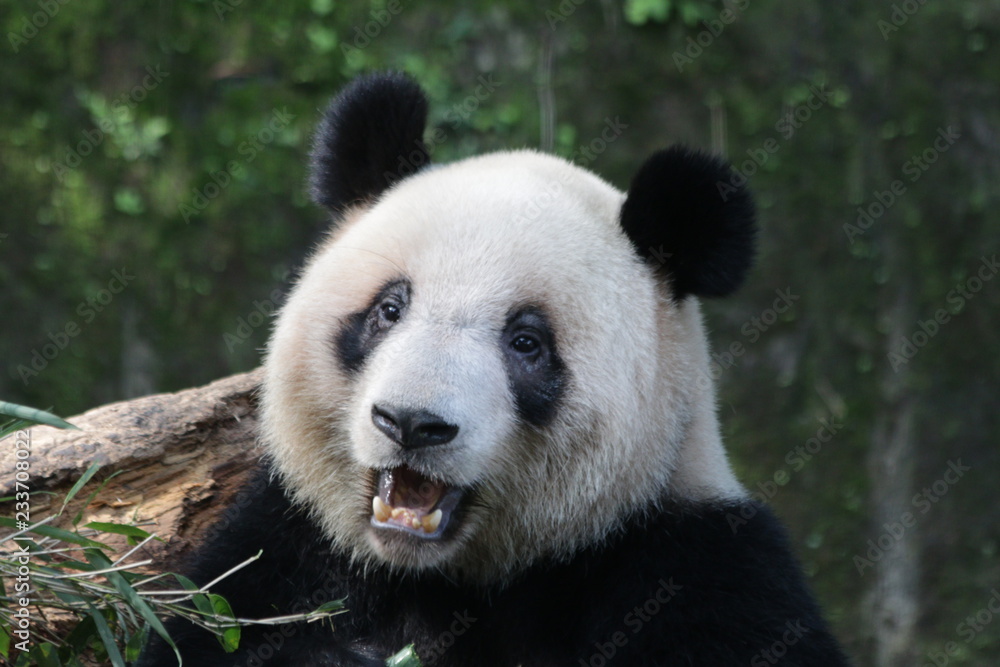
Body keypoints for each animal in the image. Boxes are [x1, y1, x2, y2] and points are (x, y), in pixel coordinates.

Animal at [139, 72, 850, 666]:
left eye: (527, 342)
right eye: (390, 308)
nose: (411, 423)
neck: (445, 576)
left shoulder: (691, 563)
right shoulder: (286, 547)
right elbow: (215, 632)